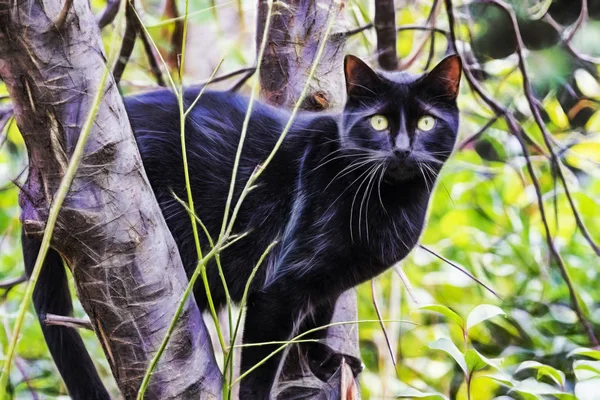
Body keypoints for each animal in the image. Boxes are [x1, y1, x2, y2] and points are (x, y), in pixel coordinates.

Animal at [21, 54, 462, 398]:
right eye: (378, 123)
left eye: (426, 123)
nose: (402, 149)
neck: (393, 205)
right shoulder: (278, 288)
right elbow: (261, 362)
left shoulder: (327, 282)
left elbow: (317, 321)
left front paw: (324, 360)